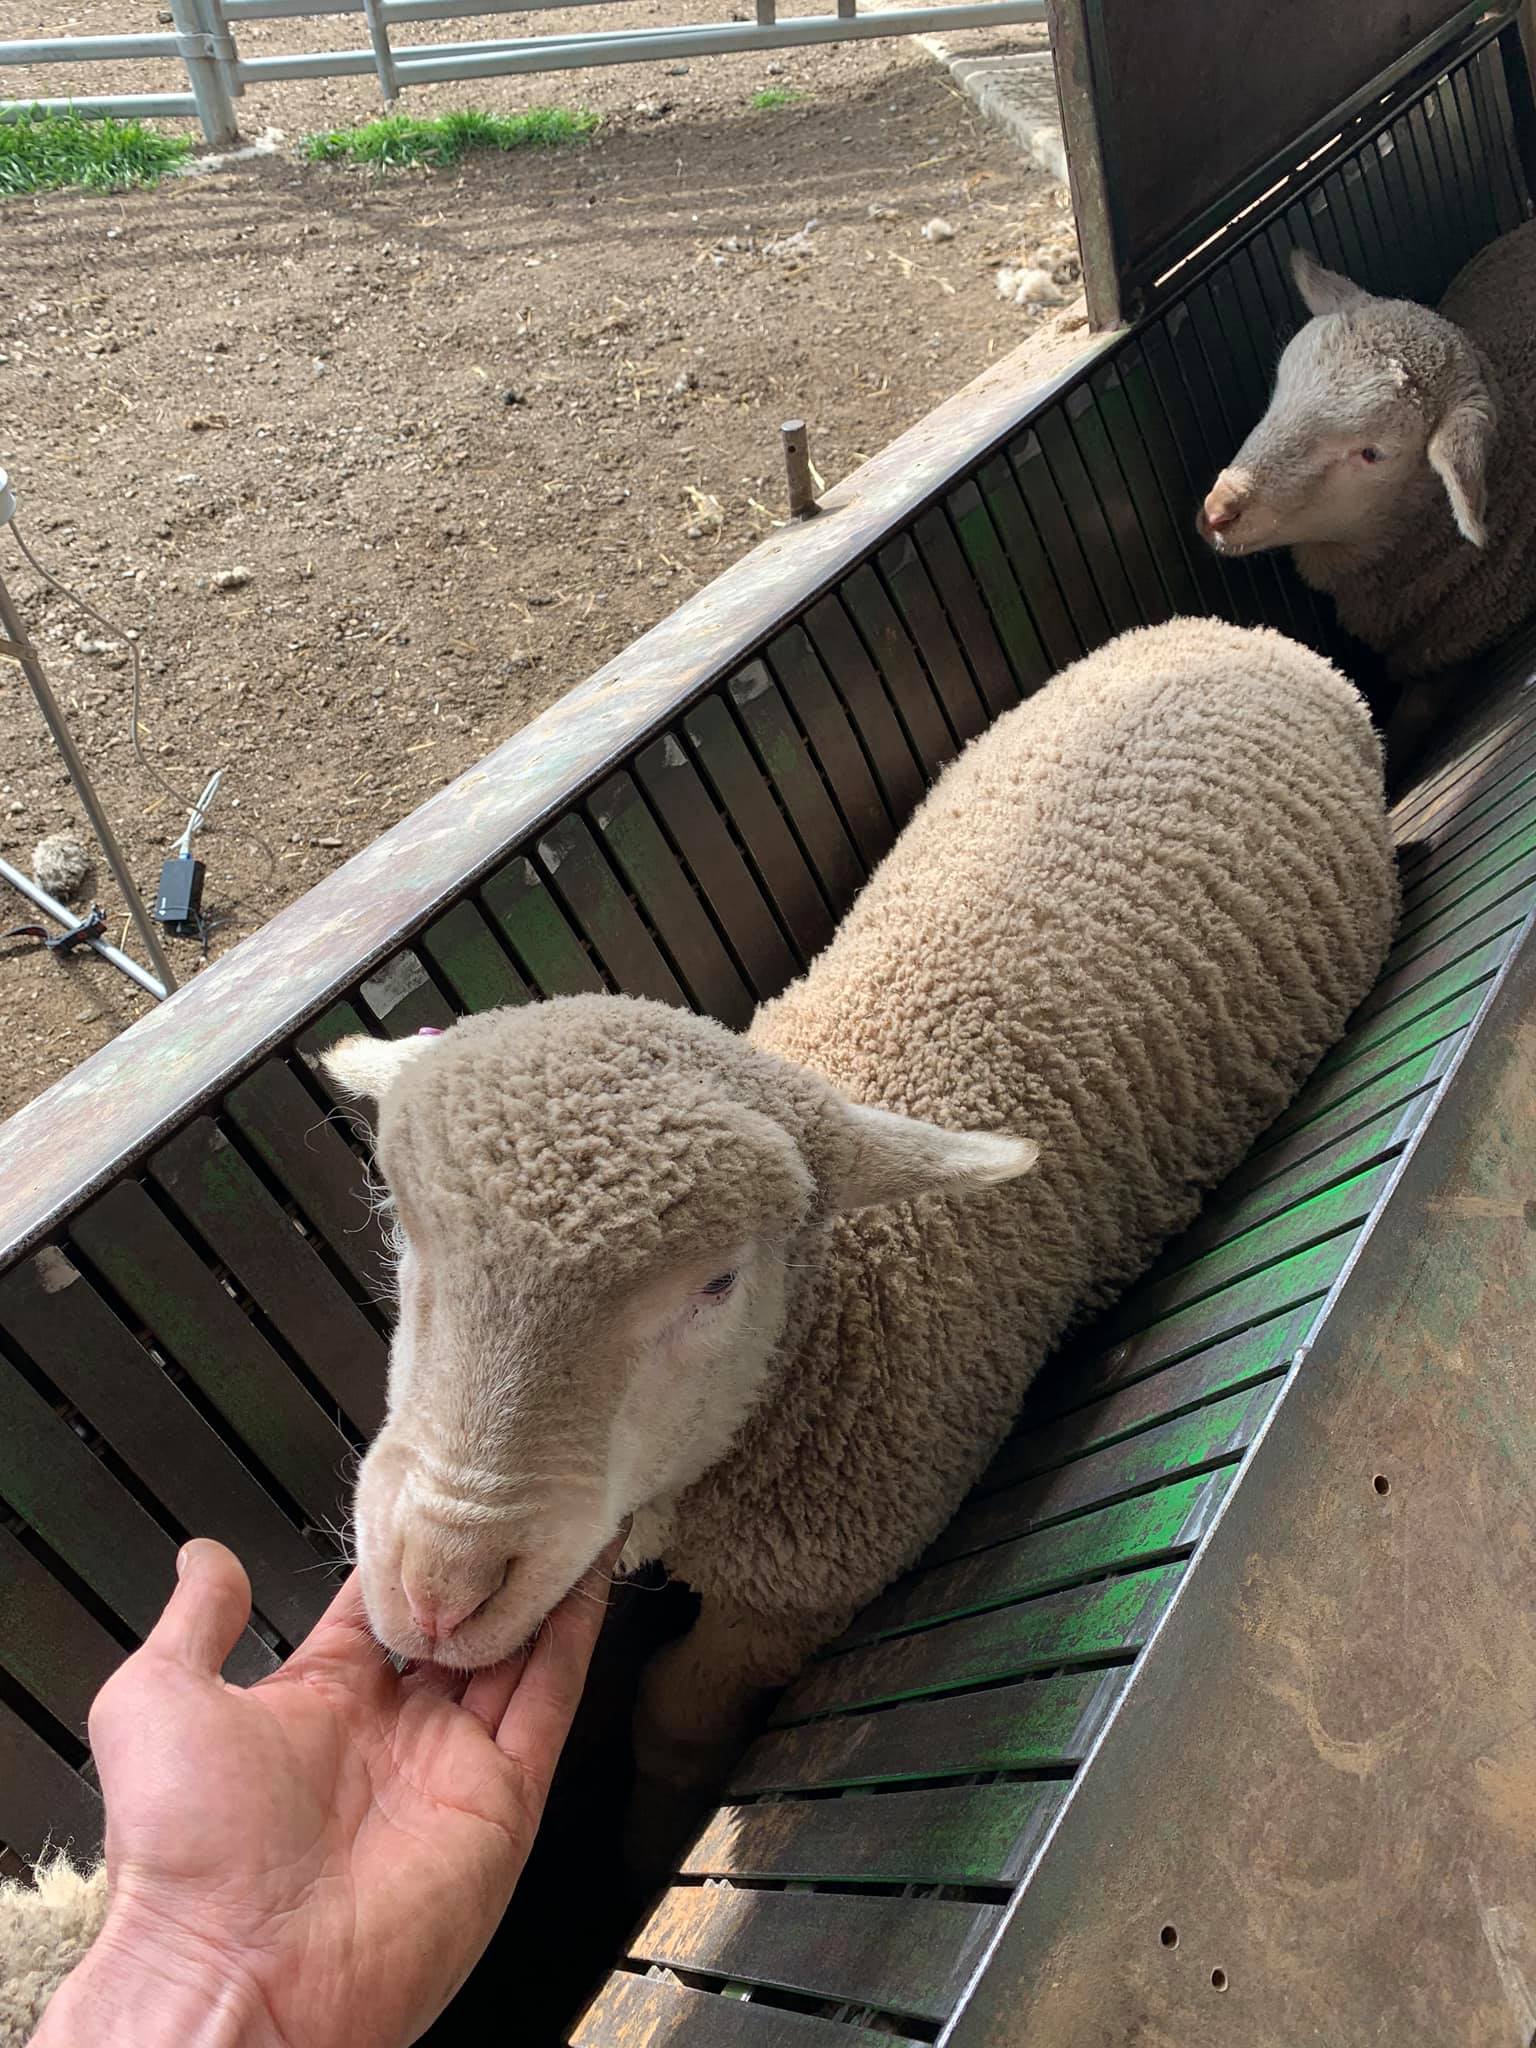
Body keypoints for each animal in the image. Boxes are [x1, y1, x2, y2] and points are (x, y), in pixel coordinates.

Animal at [316, 616, 1396, 1858]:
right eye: (402, 1229)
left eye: (719, 1283)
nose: (441, 1585)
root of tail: (1240, 633)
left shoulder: (811, 1584)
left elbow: (671, 1717)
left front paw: (641, 1837)